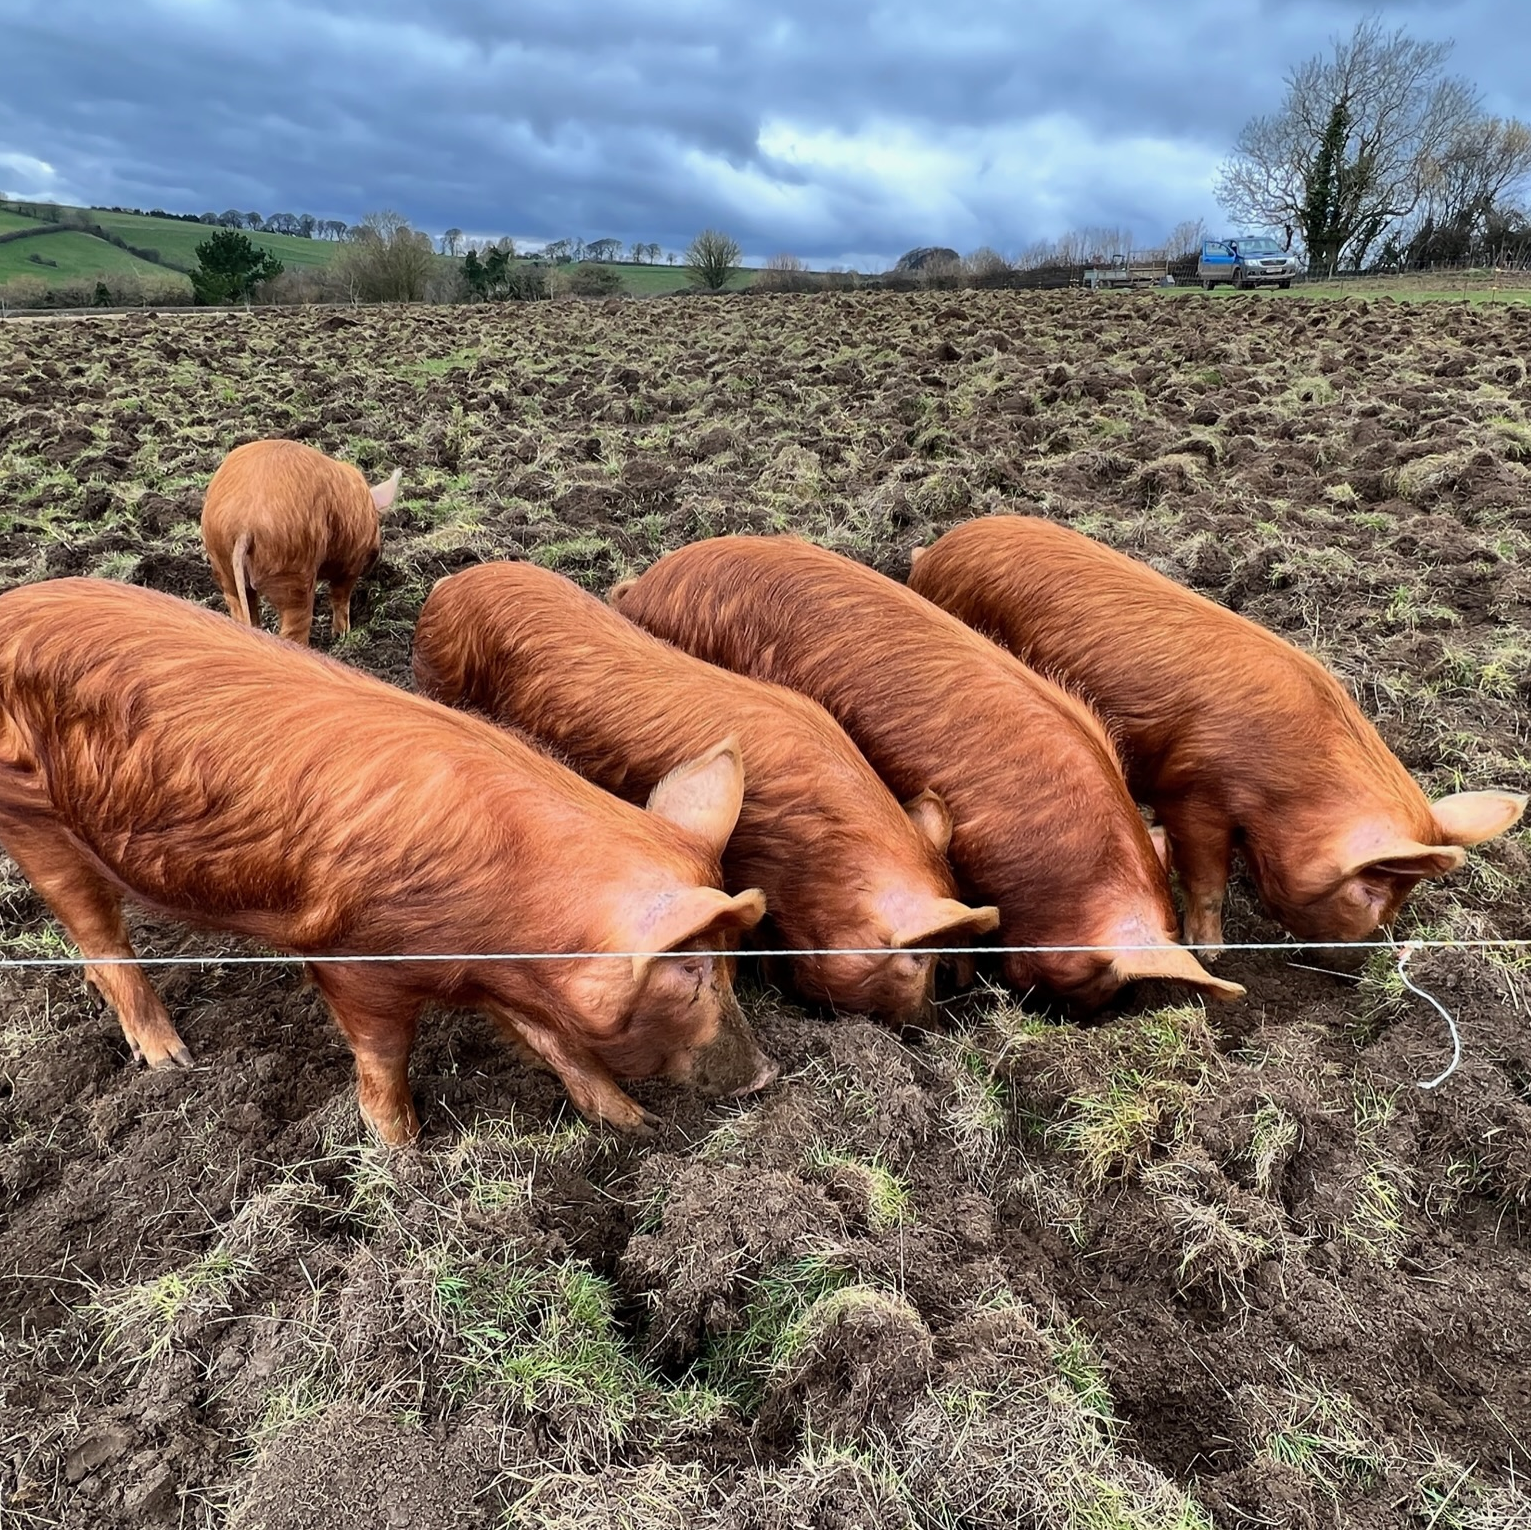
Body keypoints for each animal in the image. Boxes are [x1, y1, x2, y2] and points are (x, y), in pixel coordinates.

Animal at [0, 578, 771, 1145]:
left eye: (734, 963)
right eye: (693, 971)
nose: (764, 1076)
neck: (516, 919)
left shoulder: (501, 976)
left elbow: (554, 1042)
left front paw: (636, 1124)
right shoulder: (353, 960)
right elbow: (383, 1054)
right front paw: (402, 1152)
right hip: (32, 819)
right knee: (101, 937)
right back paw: (173, 1062)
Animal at [199, 438, 401, 646]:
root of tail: (244, 523)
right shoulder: (350, 564)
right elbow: (341, 596)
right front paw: (341, 635)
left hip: (222, 562)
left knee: (242, 610)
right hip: (293, 569)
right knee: (294, 628)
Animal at [900, 520, 1524, 949]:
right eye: (1371, 895)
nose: (1353, 959)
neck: (1290, 786)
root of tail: (936, 549)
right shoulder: (1192, 792)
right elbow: (1204, 878)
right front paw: (1213, 951)